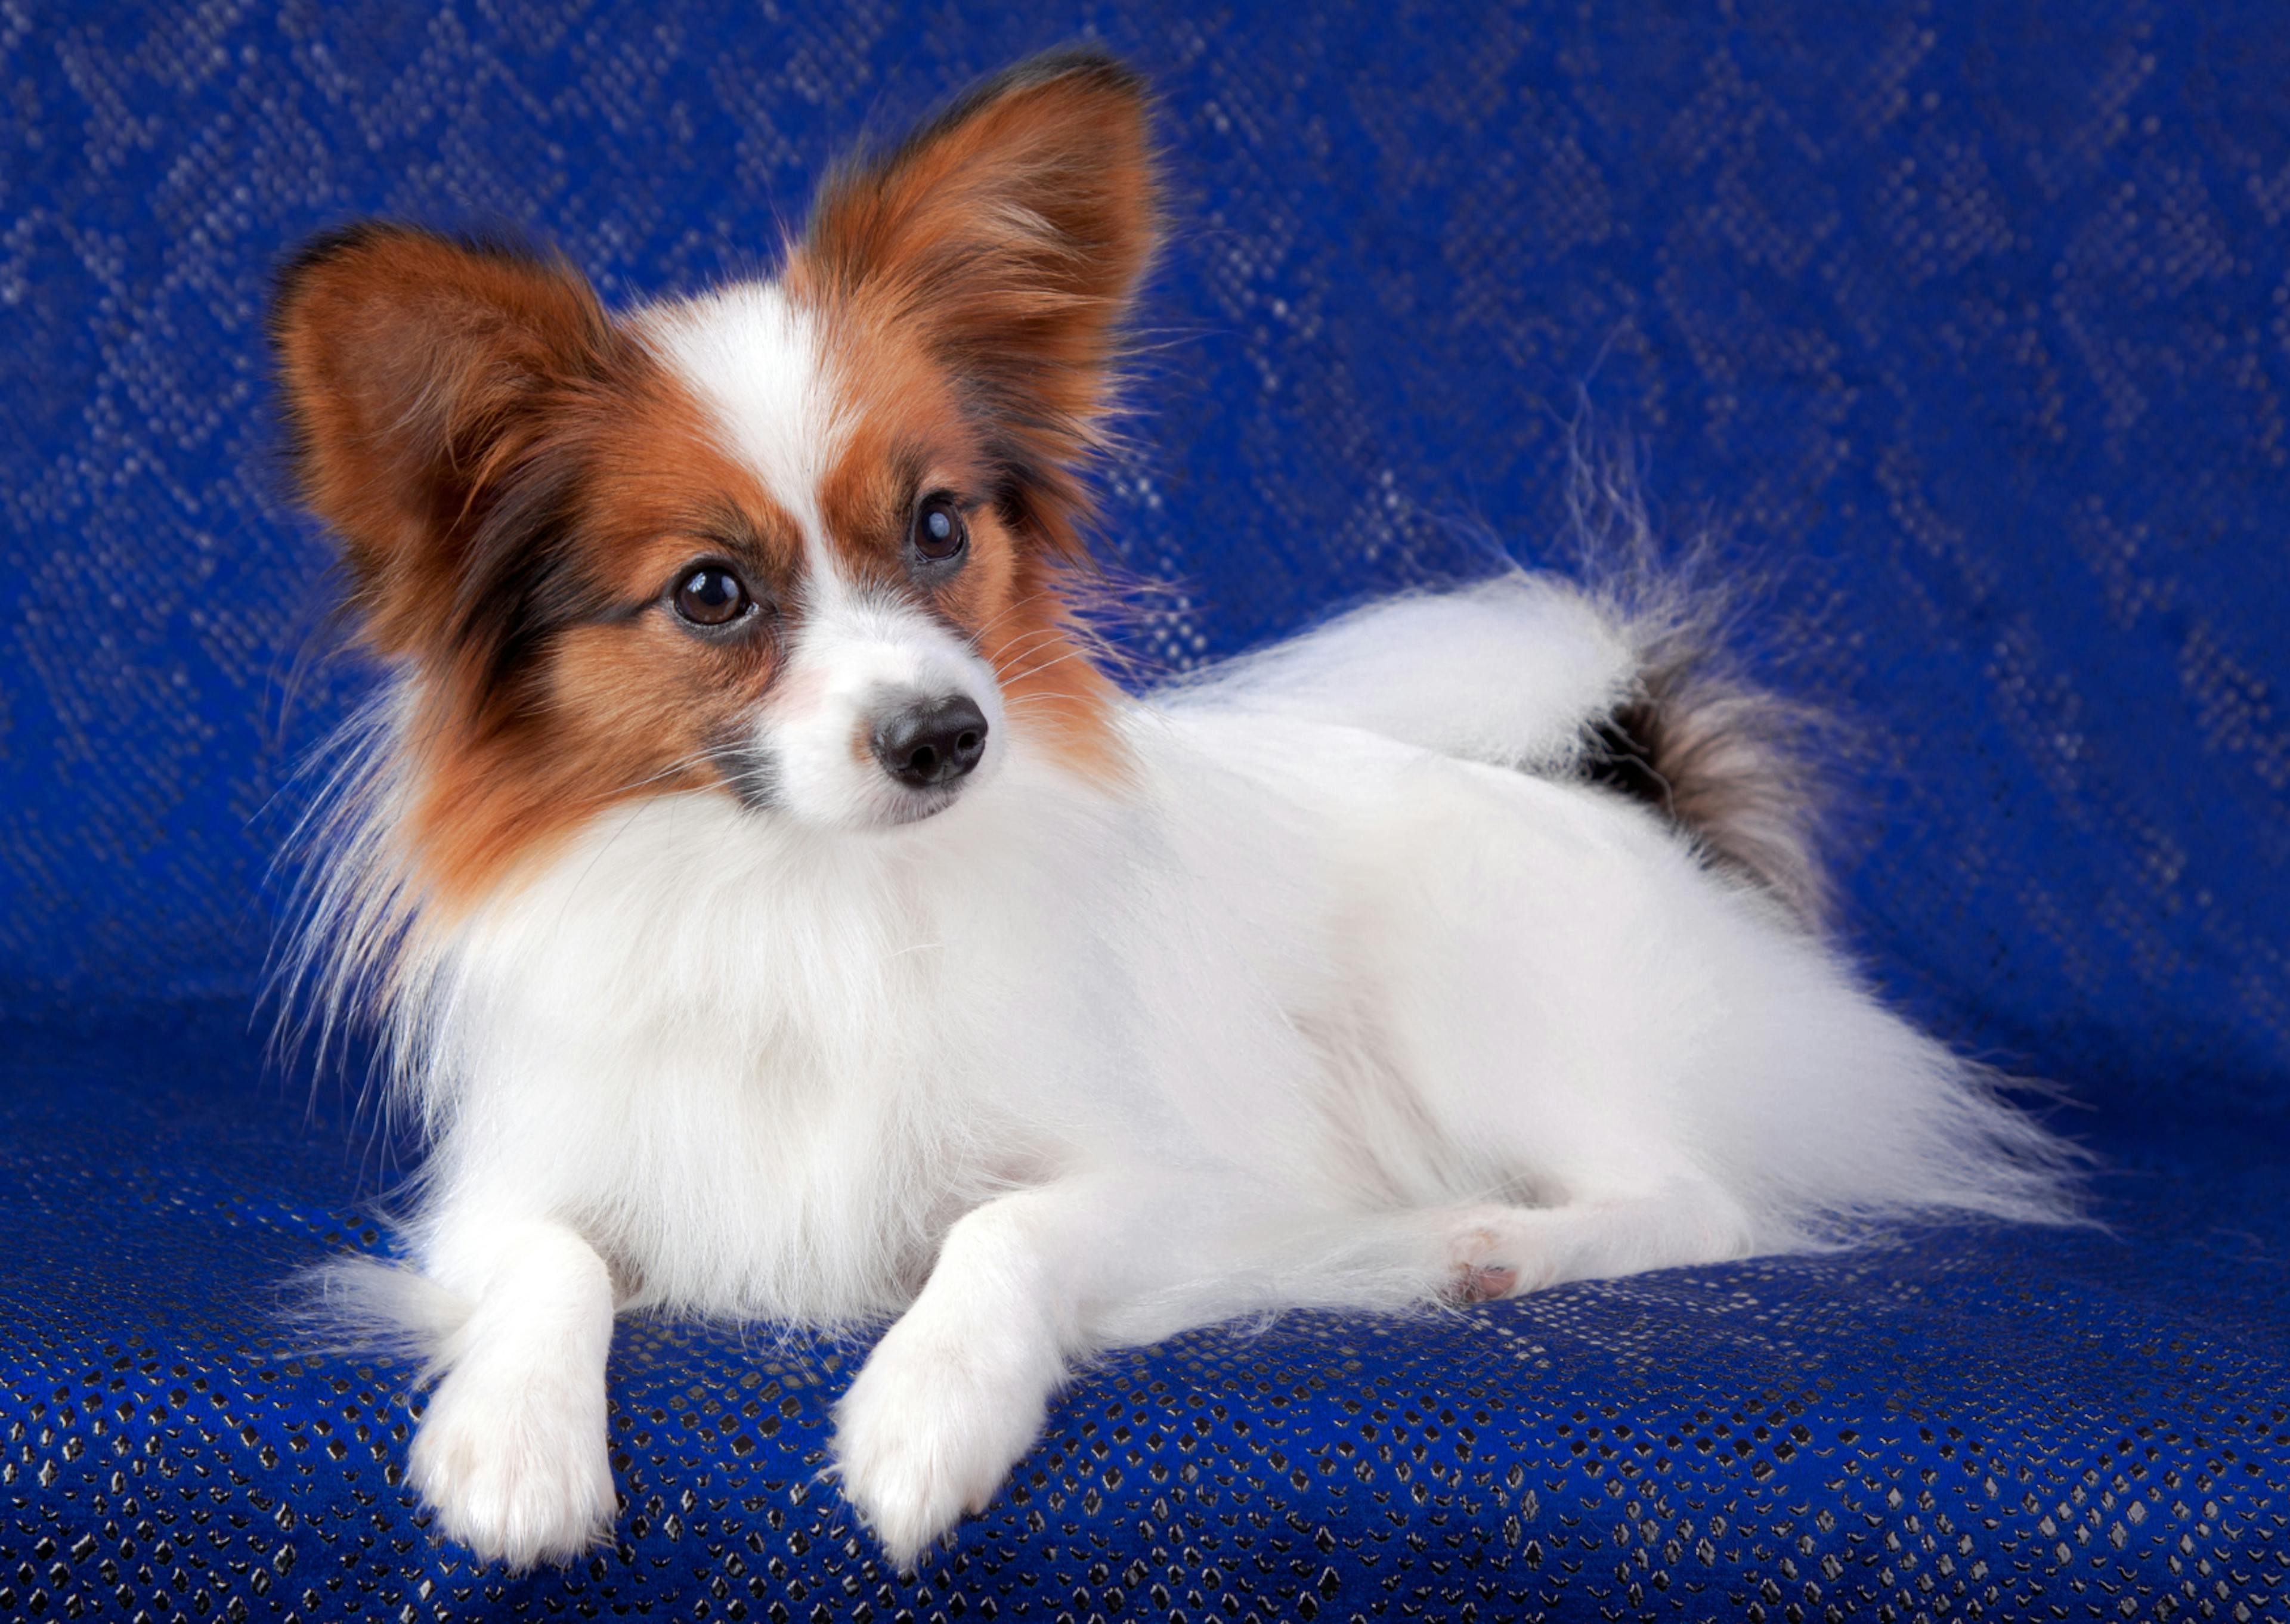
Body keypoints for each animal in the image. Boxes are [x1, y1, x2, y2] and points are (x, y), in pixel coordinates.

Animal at [263, 47, 2079, 1566]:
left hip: (1470, 993)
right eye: (711, 595)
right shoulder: (503, 1193)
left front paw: (923, 1416)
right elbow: (548, 1266)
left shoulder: (1185, 1184)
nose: (948, 735)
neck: (814, 892)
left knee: (1699, 1195)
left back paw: (1489, 1244)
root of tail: (1645, 801)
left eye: (940, 530)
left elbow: (999, 1238)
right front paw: (512, 1446)